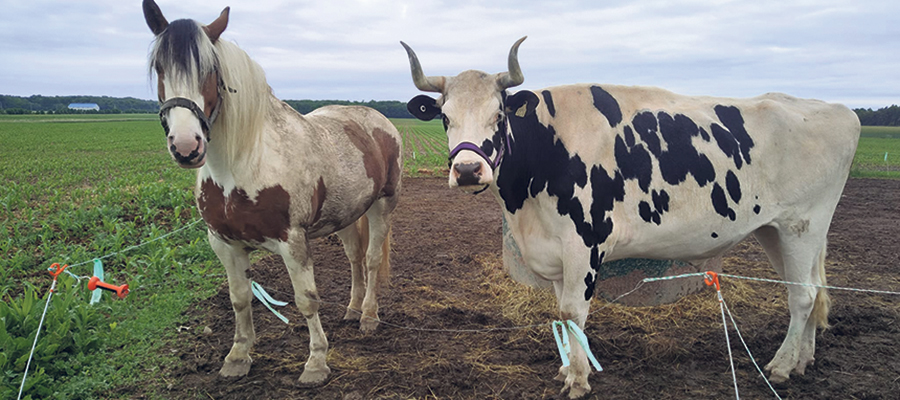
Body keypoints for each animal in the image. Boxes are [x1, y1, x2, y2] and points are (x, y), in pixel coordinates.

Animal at [142, 0, 402, 384]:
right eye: (159, 67)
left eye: (210, 70)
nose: (187, 146)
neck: (244, 165)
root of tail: (377, 119)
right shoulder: (225, 244)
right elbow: (239, 298)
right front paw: (238, 356)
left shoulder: (293, 243)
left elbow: (306, 299)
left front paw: (316, 362)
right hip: (345, 216)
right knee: (355, 259)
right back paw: (353, 310)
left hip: (381, 206)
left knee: (370, 260)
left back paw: (369, 316)